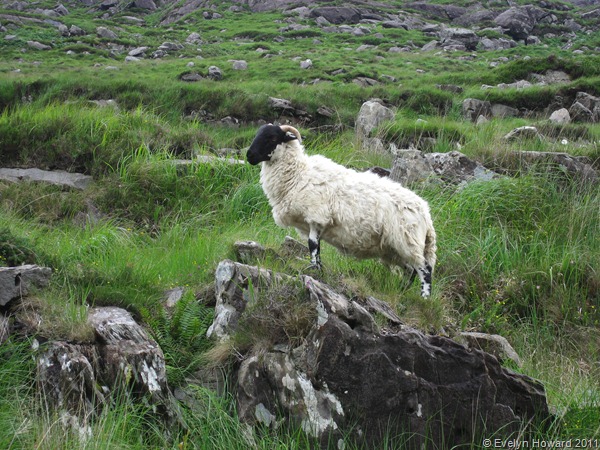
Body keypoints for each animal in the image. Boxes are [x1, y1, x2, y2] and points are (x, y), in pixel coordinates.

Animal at [244, 124, 436, 298]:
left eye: (272, 137)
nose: (249, 156)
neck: (299, 174)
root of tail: (425, 213)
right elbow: (316, 248)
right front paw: (318, 269)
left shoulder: (317, 216)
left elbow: (313, 246)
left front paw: (314, 271)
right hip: (394, 248)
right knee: (410, 270)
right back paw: (403, 292)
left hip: (407, 240)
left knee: (424, 270)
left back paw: (424, 297)